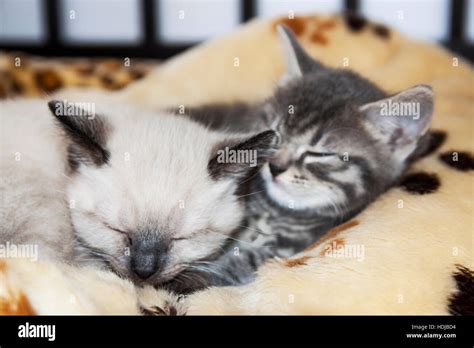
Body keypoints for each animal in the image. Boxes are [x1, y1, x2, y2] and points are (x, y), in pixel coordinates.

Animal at [168, 25, 434, 290]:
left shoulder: (282, 251)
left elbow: (235, 266)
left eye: (320, 153)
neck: (273, 212)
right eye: (274, 133)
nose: (275, 167)